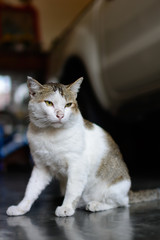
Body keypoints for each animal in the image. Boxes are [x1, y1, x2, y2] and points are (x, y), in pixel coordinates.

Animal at [6, 77, 160, 218]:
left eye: (68, 105)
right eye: (49, 103)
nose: (60, 115)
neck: (50, 134)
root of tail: (129, 192)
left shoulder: (77, 166)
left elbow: (72, 190)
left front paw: (66, 207)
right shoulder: (41, 167)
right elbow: (31, 189)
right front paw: (21, 207)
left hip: (115, 190)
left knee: (121, 203)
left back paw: (95, 205)